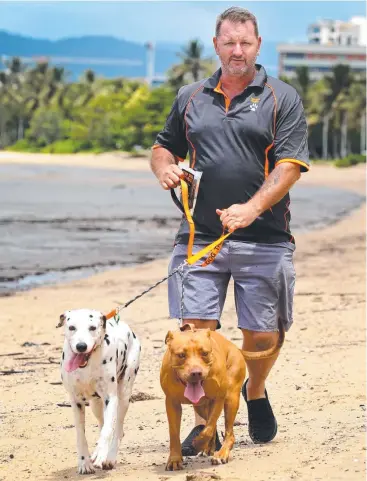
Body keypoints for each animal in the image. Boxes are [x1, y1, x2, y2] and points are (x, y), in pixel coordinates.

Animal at [57, 308, 141, 472]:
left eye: (92, 328)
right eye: (72, 327)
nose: (81, 346)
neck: (87, 365)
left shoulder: (111, 398)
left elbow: (107, 431)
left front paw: (102, 454)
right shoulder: (76, 402)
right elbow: (81, 435)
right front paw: (84, 462)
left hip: (124, 396)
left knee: (117, 429)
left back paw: (110, 457)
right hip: (95, 405)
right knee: (102, 422)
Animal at [160, 322, 284, 468]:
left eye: (205, 353)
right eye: (181, 355)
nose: (196, 373)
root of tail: (234, 346)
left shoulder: (218, 399)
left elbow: (208, 428)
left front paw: (198, 443)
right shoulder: (172, 403)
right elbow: (174, 433)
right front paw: (174, 459)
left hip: (231, 399)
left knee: (228, 433)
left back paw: (221, 454)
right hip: (200, 406)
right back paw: (209, 448)